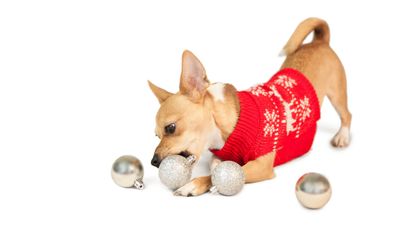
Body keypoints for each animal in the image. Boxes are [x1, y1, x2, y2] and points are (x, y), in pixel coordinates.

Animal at [148, 18, 352, 196]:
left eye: (170, 128)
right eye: (156, 135)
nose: (153, 161)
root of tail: (319, 42)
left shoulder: (261, 165)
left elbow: (221, 174)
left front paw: (193, 185)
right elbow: (216, 166)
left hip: (337, 95)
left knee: (347, 115)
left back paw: (342, 136)